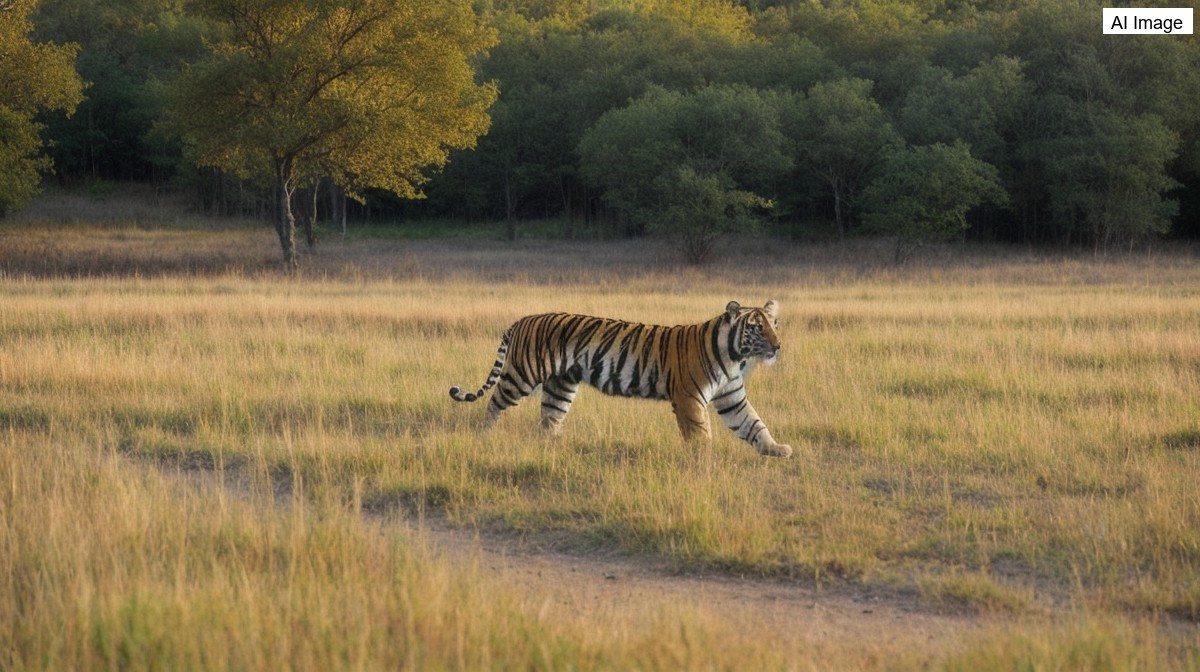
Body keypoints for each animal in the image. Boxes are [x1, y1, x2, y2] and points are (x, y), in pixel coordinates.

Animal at [448, 300, 792, 457]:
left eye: (774, 323)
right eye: (757, 327)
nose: (778, 346)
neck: (735, 356)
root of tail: (522, 319)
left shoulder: (731, 397)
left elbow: (754, 424)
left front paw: (776, 449)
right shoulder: (689, 397)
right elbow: (700, 432)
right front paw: (704, 458)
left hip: (561, 386)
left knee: (549, 418)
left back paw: (555, 446)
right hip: (522, 374)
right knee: (495, 403)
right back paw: (485, 436)